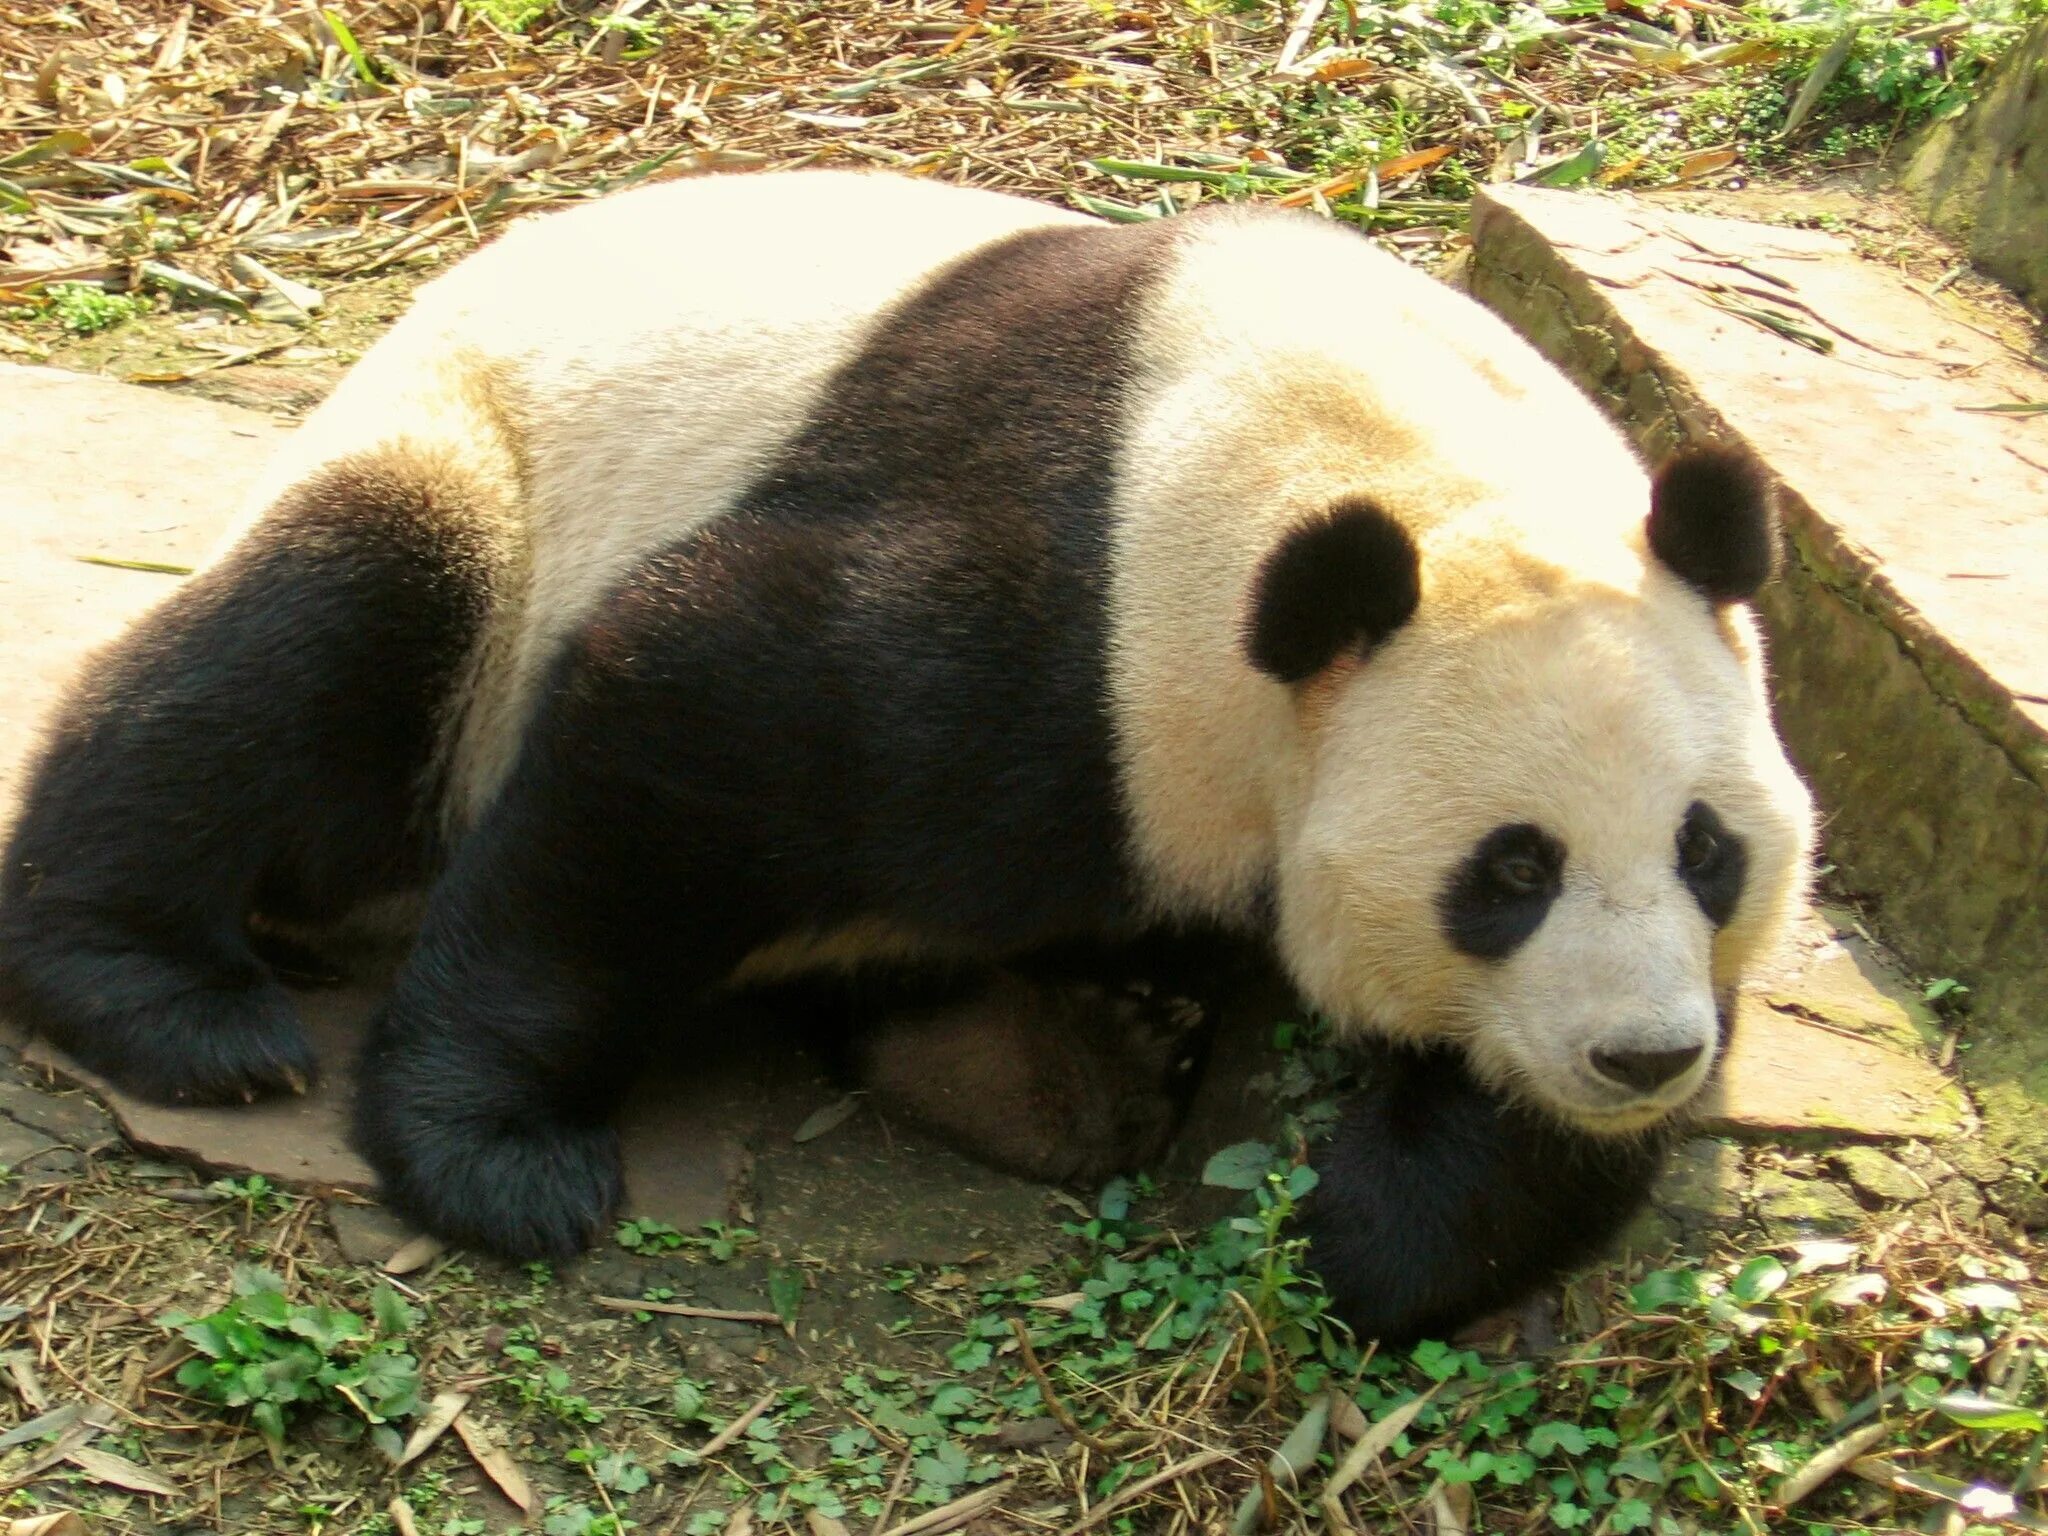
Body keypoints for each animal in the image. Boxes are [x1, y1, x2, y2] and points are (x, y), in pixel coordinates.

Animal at [0, 171, 1818, 1343]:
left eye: (1707, 851)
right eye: (1507, 871)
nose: (1640, 1055)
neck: (1410, 481)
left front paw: (1371, 1226)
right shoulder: (1078, 616)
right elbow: (686, 723)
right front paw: (497, 1155)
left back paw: (1061, 1065)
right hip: (476, 467)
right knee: (320, 650)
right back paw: (165, 992)